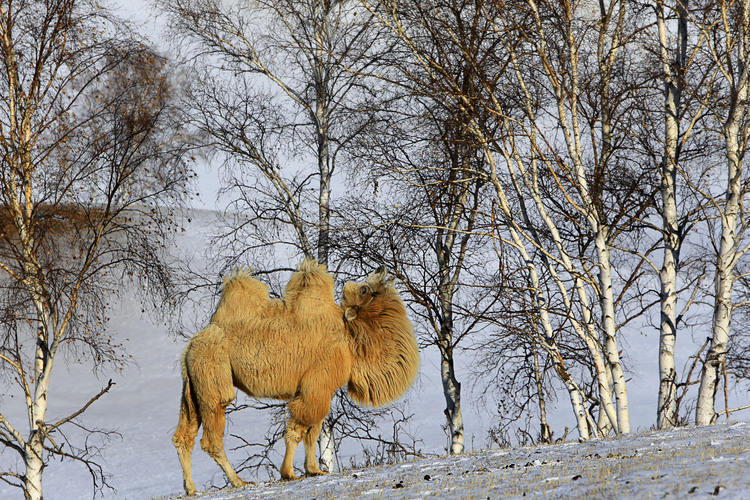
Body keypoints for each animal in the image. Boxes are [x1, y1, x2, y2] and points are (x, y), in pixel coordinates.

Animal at [173, 260, 420, 494]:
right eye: (365, 289)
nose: (381, 267)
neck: (351, 340)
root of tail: (192, 344)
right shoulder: (317, 384)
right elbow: (298, 429)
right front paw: (289, 473)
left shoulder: (322, 390)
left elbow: (314, 431)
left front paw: (314, 470)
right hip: (213, 377)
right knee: (212, 436)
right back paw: (239, 482)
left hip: (192, 387)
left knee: (184, 435)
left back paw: (191, 488)